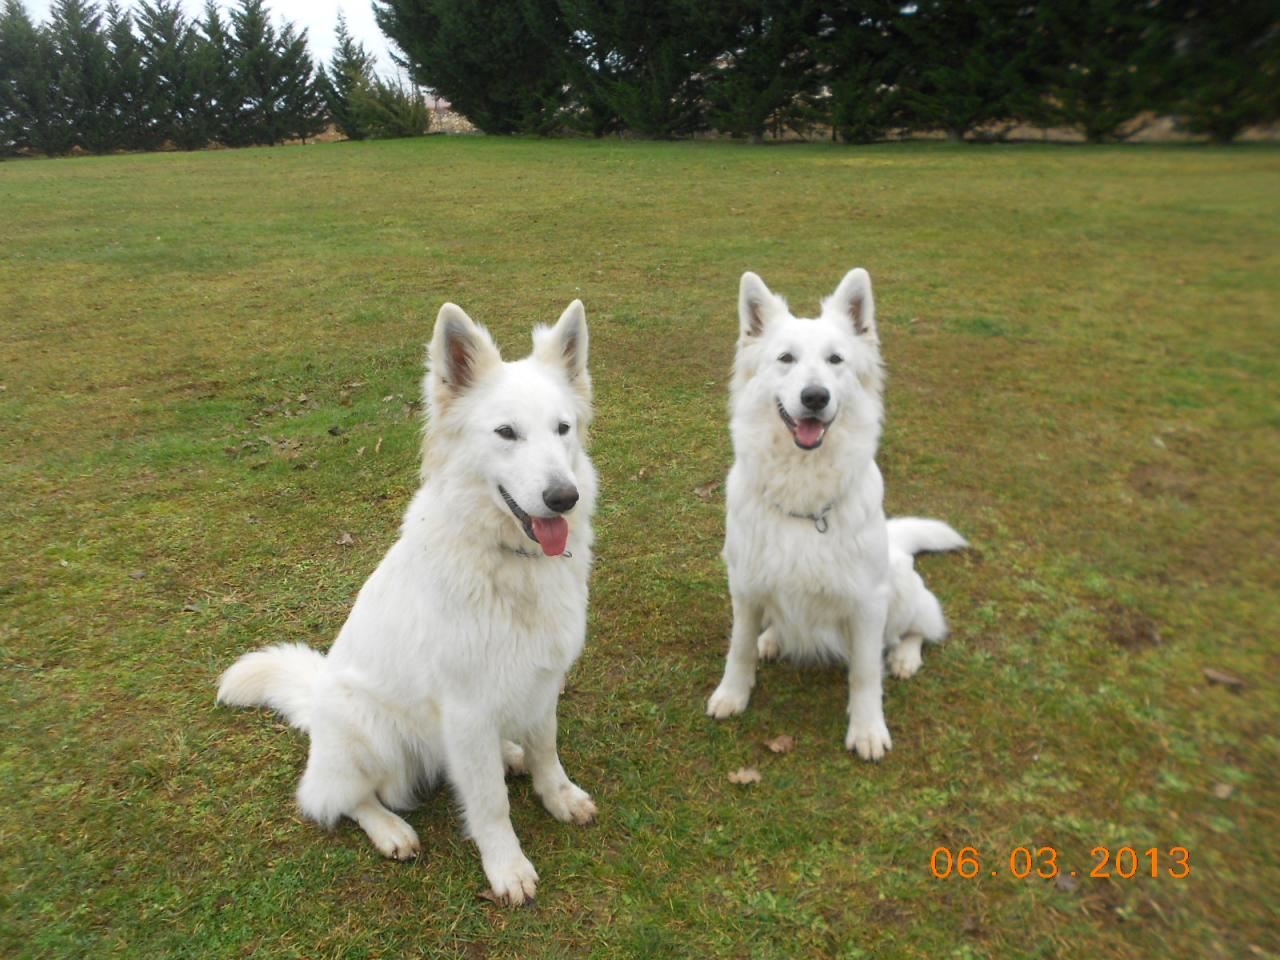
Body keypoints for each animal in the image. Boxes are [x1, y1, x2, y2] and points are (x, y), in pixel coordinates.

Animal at [221, 300, 599, 911]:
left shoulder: (542, 679)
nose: (565, 498)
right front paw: (506, 867)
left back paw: (508, 753)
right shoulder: (466, 708)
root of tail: (315, 699)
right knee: (337, 798)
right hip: (373, 732)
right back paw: (390, 830)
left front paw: (558, 796)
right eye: (506, 433)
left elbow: (547, 751)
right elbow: (490, 803)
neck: (505, 560)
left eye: (563, 429)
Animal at [706, 268, 962, 757]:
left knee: (921, 626)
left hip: (900, 593)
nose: (815, 397)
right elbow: (739, 646)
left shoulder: (867, 604)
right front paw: (733, 693)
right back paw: (773, 638)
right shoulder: (745, 587)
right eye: (786, 358)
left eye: (836, 360)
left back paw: (905, 656)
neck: (805, 498)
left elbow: (865, 673)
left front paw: (867, 729)